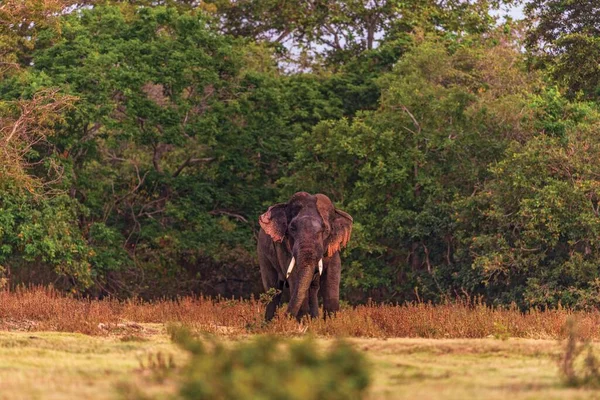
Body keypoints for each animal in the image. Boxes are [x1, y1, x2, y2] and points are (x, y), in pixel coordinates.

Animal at [256, 192, 352, 320]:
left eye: (326, 230)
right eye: (292, 228)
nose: (285, 317)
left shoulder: (332, 249)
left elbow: (331, 276)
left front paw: (332, 322)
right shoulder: (284, 248)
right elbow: (295, 276)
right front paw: (303, 321)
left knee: (313, 288)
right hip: (263, 253)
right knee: (273, 290)